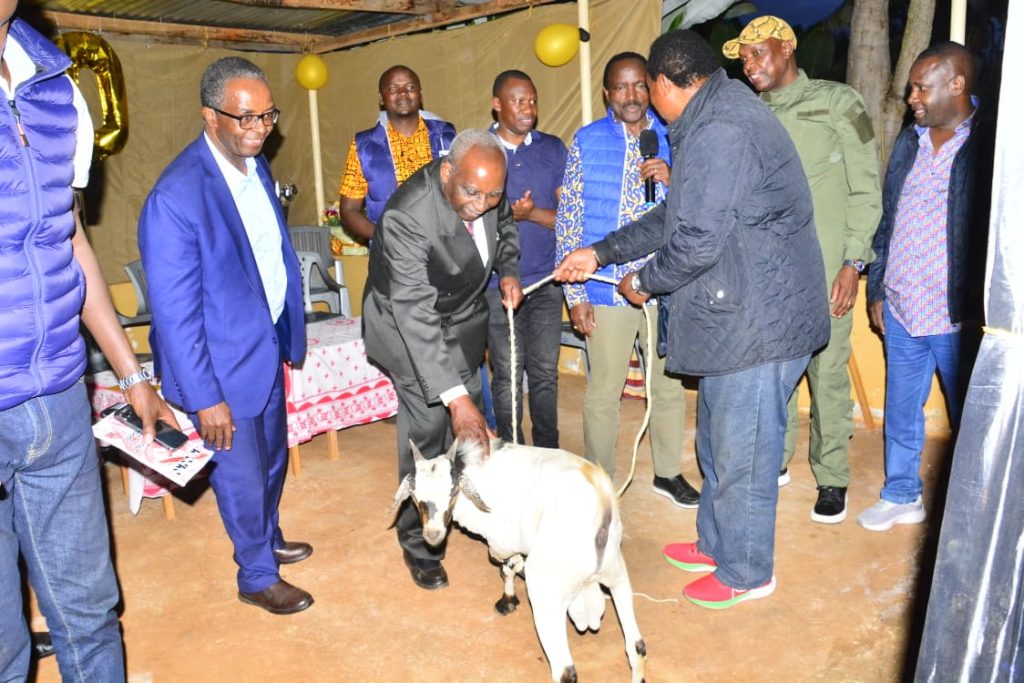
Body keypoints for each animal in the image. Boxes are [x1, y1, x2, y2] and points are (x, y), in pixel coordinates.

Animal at [387, 438, 643, 683]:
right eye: (415, 496)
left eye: (453, 492)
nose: (433, 534)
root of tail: (602, 504)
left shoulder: (502, 541)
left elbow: (506, 566)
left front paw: (507, 600)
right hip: (617, 574)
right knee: (637, 648)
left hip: (546, 595)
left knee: (565, 671)